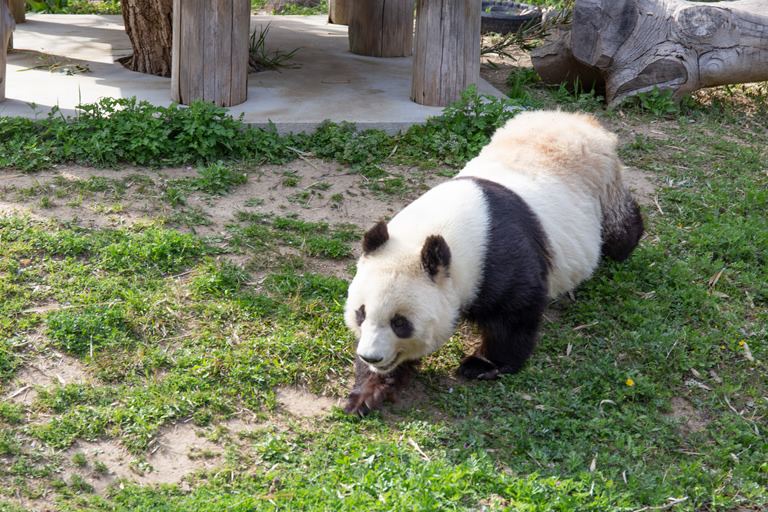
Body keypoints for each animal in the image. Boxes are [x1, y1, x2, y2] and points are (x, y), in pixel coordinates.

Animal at [342, 111, 640, 416]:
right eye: (361, 313)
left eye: (400, 322)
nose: (371, 356)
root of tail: (579, 120)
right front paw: (367, 392)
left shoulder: (497, 257)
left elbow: (514, 312)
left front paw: (482, 365)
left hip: (603, 186)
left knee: (619, 229)